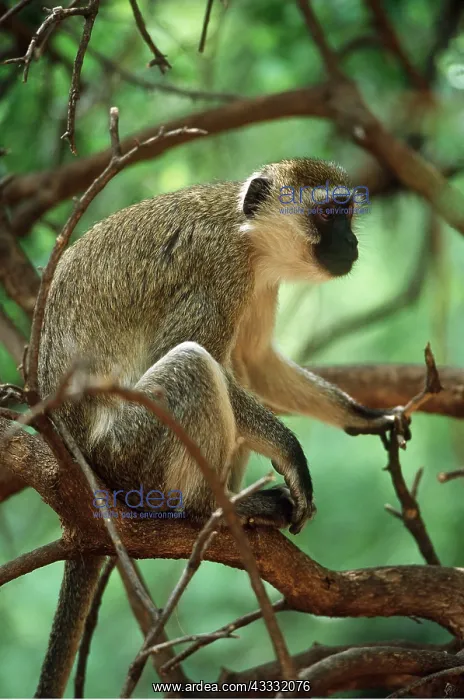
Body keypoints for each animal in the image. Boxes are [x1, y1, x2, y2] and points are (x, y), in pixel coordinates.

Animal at [35, 158, 409, 696]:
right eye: (326, 214)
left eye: (346, 212)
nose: (353, 243)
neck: (246, 235)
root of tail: (85, 470)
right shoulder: (218, 272)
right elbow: (200, 355)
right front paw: (291, 453)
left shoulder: (258, 282)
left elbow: (254, 364)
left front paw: (365, 415)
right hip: (128, 454)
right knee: (194, 363)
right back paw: (206, 510)